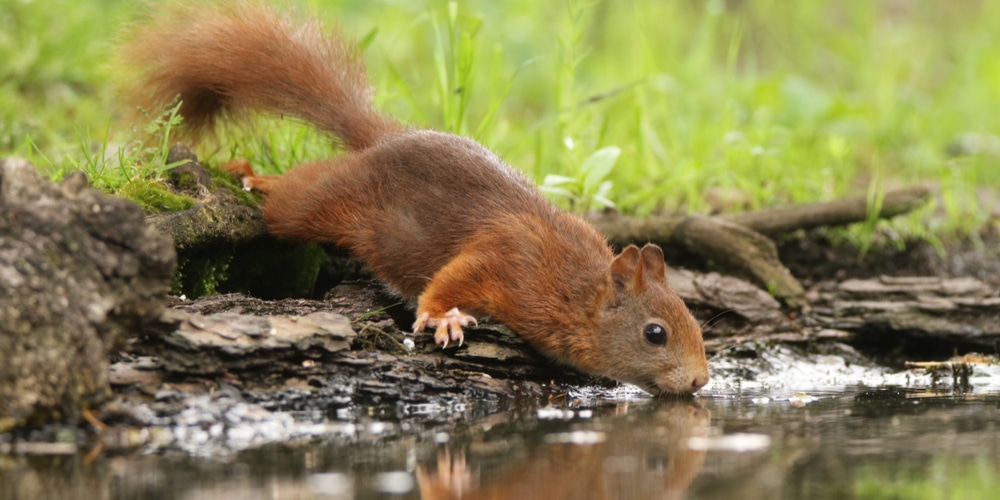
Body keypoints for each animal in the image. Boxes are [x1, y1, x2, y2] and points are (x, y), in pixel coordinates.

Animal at [121, 0, 708, 394]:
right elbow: (451, 277)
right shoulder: (509, 257)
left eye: (695, 323)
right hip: (322, 205)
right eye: (655, 334)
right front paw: (441, 316)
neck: (573, 285)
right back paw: (254, 177)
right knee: (292, 197)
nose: (701, 382)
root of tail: (383, 139)